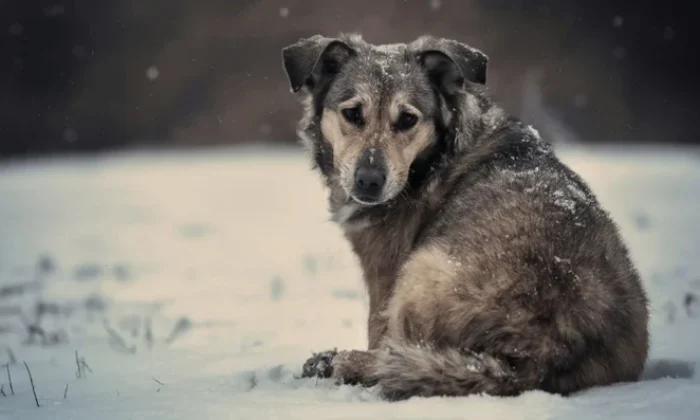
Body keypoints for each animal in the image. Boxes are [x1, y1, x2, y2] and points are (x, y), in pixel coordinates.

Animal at [280, 32, 652, 400]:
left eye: (408, 119)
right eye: (353, 114)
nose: (369, 182)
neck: (436, 158)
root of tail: (543, 352)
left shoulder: (384, 274)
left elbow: (377, 330)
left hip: (421, 270)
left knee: (398, 353)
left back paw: (338, 362)